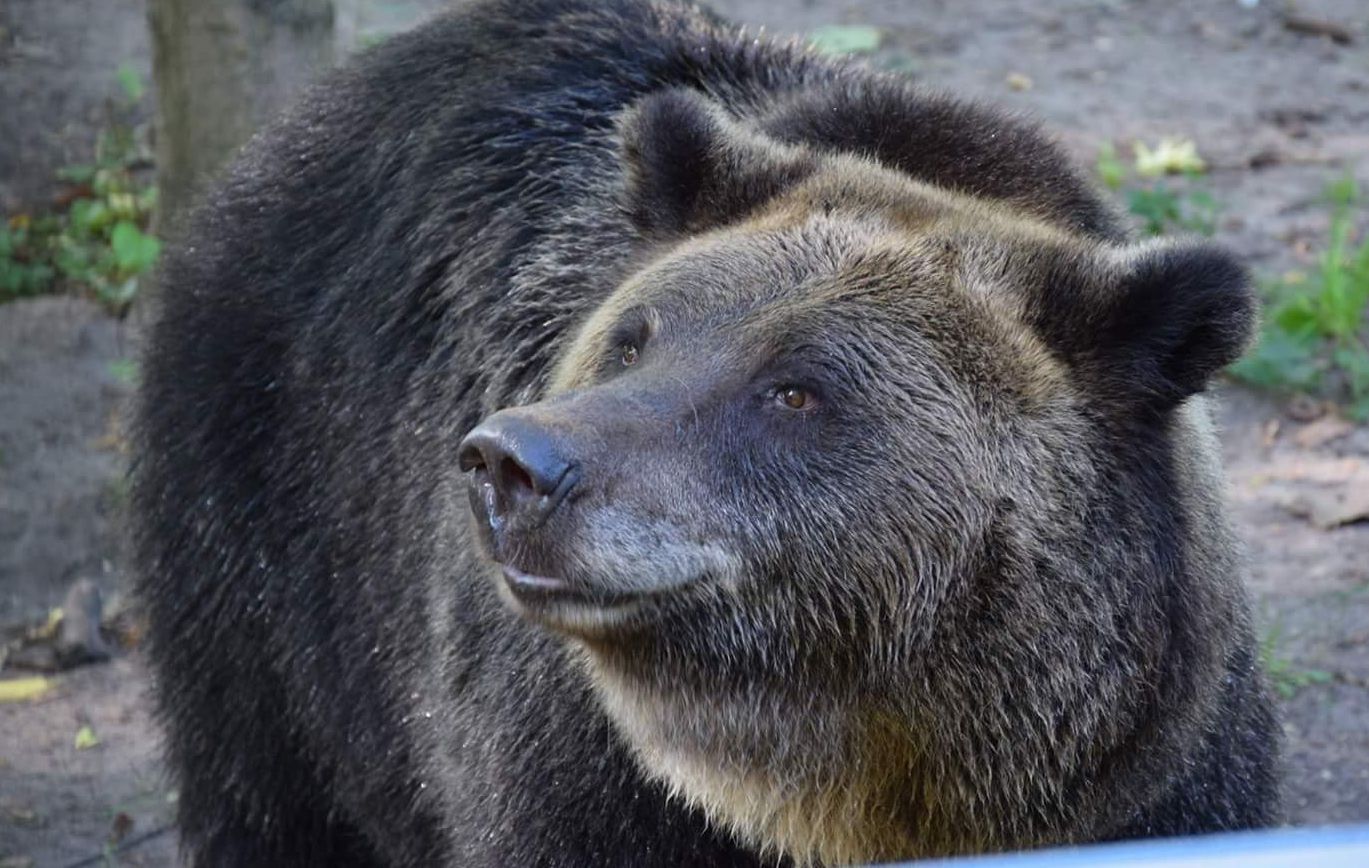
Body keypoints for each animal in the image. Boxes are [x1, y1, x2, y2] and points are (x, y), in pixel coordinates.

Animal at [133, 0, 1275, 859]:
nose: (513, 462)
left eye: (796, 390)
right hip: (272, 539)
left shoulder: (1152, 782)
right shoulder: (579, 790)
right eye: (634, 338)